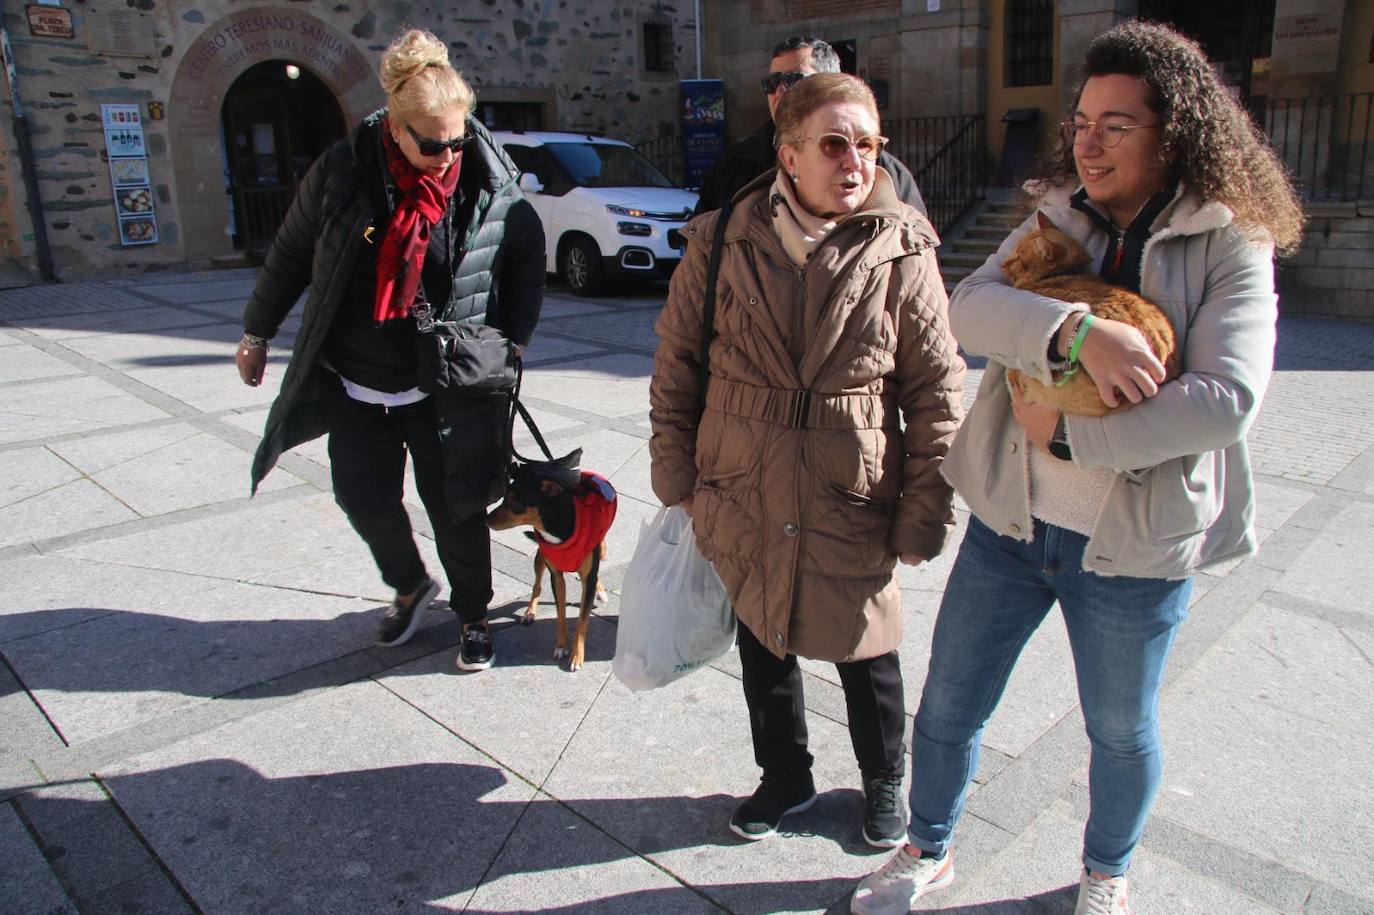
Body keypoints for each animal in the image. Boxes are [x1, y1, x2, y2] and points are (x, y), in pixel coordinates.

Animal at [483, 464, 612, 670]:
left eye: (513, 499)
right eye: (504, 496)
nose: (487, 519)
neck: (556, 531)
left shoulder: (589, 574)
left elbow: (582, 622)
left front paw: (577, 656)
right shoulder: (556, 576)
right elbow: (560, 614)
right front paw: (561, 647)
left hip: (601, 551)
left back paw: (600, 592)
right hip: (540, 557)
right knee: (537, 585)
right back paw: (529, 613)